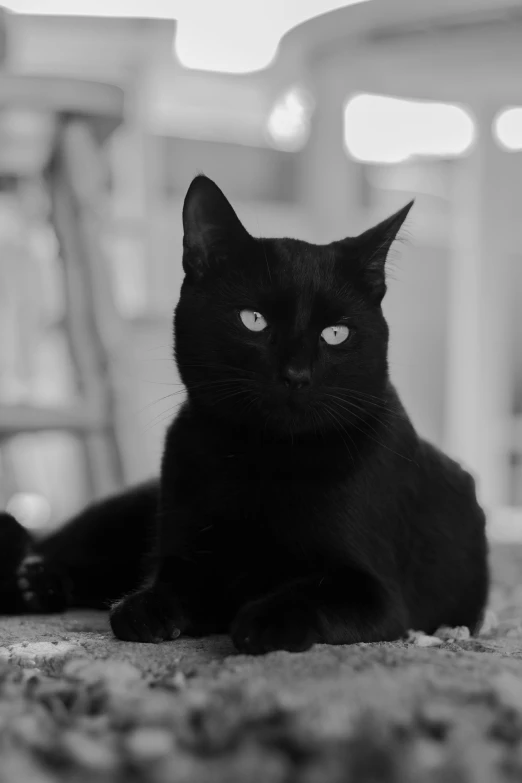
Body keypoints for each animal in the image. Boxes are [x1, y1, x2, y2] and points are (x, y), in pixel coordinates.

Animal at [1, 178, 488, 656]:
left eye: (336, 333)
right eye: (253, 320)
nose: (296, 375)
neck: (260, 458)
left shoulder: (376, 592)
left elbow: (310, 593)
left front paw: (264, 620)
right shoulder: (186, 552)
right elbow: (171, 581)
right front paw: (146, 608)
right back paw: (32, 581)